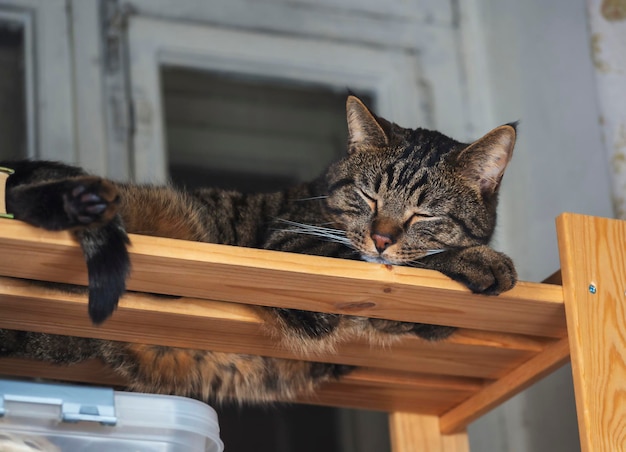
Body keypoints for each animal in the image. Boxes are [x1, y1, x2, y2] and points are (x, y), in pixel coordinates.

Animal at [0, 95, 516, 402]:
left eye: (423, 214)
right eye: (368, 197)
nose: (383, 236)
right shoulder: (297, 246)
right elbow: (399, 268)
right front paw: (483, 261)